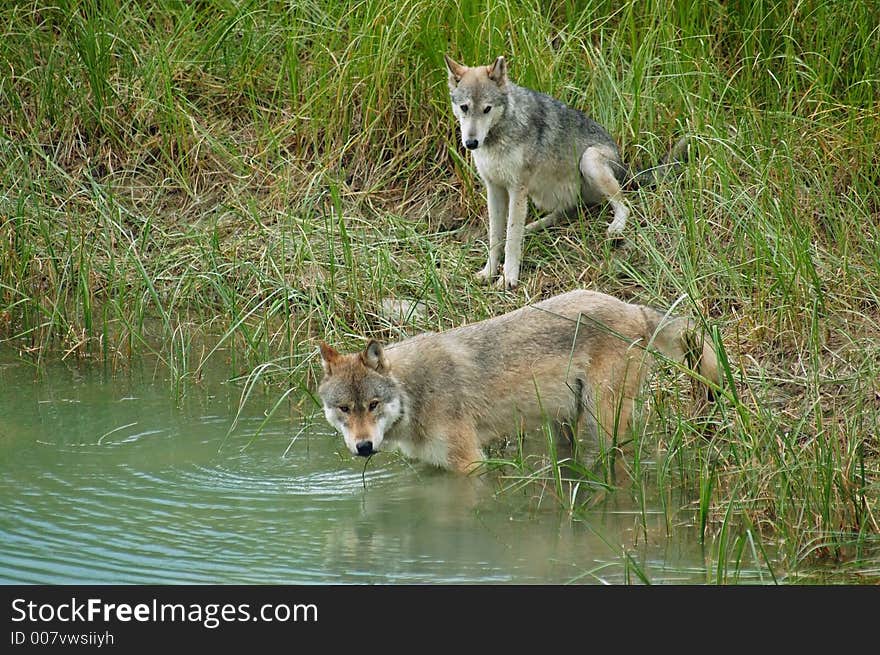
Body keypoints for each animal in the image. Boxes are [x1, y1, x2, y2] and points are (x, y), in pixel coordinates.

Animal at [316, 290, 716, 474]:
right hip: (565, 424)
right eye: (344, 409)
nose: (364, 447)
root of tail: (634, 307)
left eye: (373, 405)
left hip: (603, 421)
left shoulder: (470, 464)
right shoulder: (432, 468)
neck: (414, 393)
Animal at [446, 55, 688, 290]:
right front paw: (488, 272)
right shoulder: (494, 188)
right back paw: (532, 227)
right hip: (543, 193)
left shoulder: (517, 189)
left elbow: (512, 239)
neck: (497, 137)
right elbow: (495, 237)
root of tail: (624, 165)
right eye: (464, 108)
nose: (471, 143)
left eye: (487, 109)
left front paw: (508, 279)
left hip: (589, 160)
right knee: (566, 212)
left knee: (623, 205)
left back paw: (615, 228)